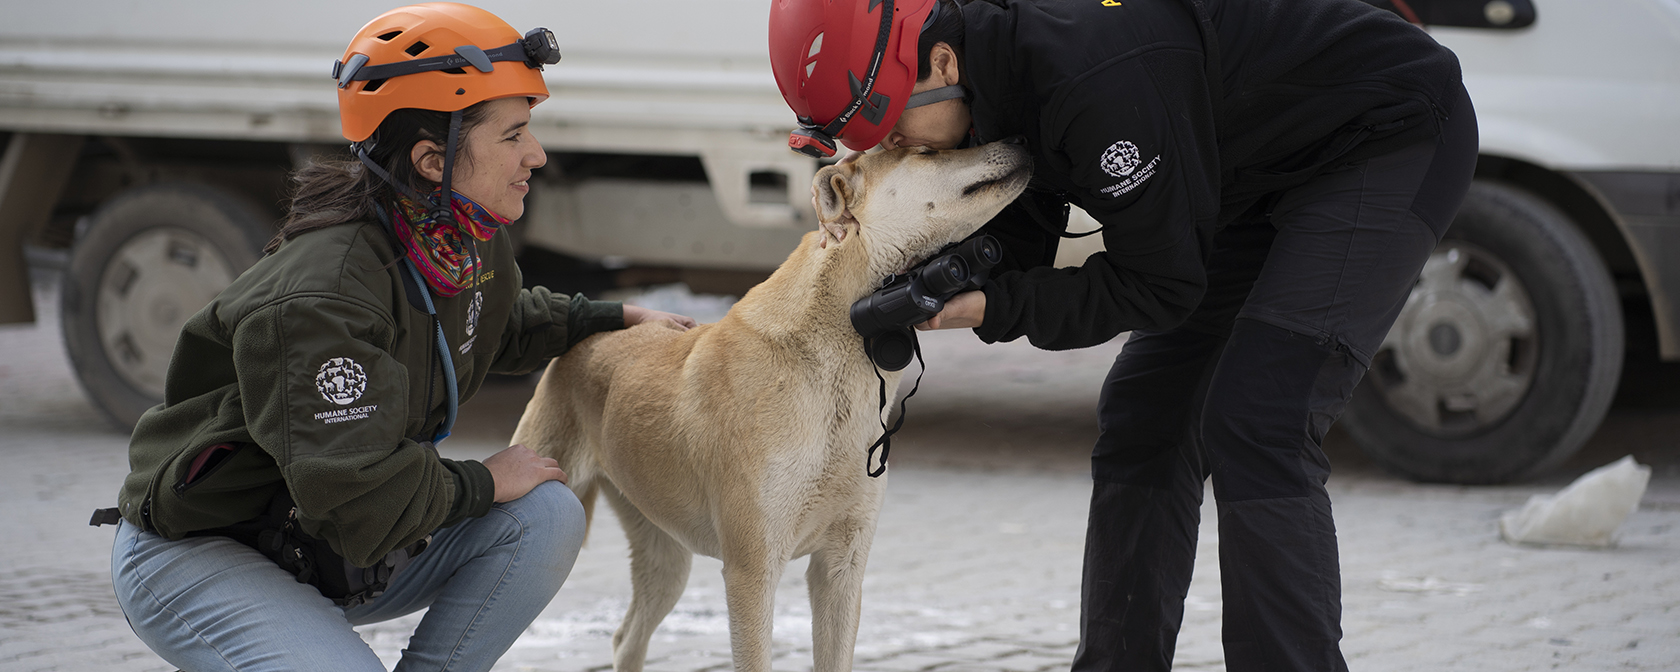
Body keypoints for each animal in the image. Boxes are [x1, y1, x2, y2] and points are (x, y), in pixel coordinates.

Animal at [510, 139, 1028, 668]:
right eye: (929, 152)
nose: (1017, 140)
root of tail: (579, 342)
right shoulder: (753, 571)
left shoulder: (842, 567)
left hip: (667, 558)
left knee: (626, 636)